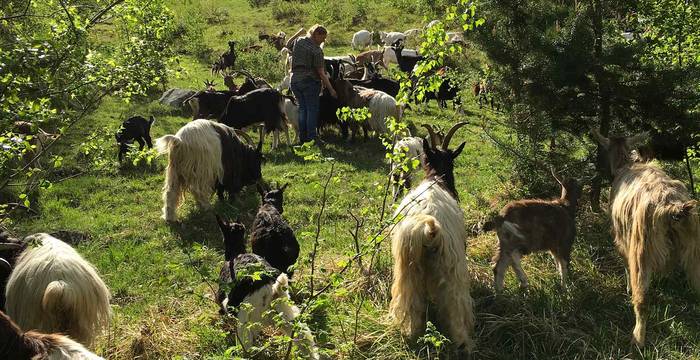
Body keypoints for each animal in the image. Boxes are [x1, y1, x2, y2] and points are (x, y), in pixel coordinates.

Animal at [215, 215, 318, 358]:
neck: (236, 252)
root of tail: (269, 290)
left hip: (244, 324)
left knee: (247, 348)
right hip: (287, 315)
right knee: (305, 340)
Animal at [388, 121, 476, 352]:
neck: (436, 179)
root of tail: (428, 231)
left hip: (407, 270)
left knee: (411, 305)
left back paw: (411, 335)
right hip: (452, 268)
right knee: (456, 306)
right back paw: (463, 343)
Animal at [592, 129, 700, 346]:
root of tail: (674, 207)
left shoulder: (622, 239)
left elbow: (625, 264)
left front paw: (627, 288)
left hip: (642, 248)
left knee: (641, 300)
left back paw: (637, 339)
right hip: (695, 249)